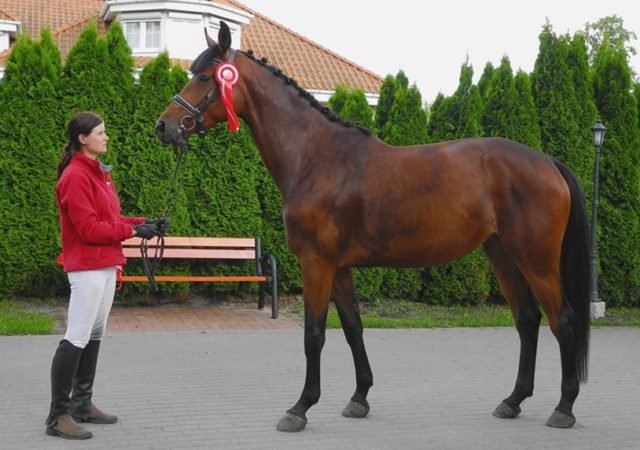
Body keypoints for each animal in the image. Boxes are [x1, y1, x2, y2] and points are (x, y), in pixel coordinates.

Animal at [155, 22, 592, 432]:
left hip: (536, 260)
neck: (317, 158)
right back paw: (513, 400)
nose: (164, 126)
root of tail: (549, 163)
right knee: (527, 320)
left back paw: (564, 407)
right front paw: (359, 398)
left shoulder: (317, 262)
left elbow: (314, 334)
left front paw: (300, 408)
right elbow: (352, 328)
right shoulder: (340, 267)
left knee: (563, 320)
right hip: (502, 254)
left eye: (205, 78)